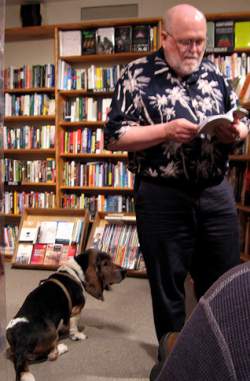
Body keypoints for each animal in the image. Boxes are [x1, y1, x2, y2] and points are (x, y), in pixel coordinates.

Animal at [5, 248, 127, 378]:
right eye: (105, 264)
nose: (125, 271)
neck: (75, 271)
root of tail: (20, 345)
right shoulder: (76, 310)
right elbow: (74, 326)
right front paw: (77, 335)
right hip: (52, 331)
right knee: (52, 355)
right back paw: (62, 347)